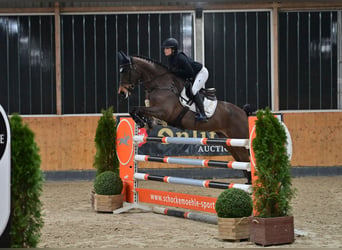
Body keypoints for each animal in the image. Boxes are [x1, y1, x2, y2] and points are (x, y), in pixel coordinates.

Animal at [117, 50, 251, 184]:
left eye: (126, 71)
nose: (122, 93)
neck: (161, 84)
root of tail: (243, 113)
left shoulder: (163, 112)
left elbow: (137, 109)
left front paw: (142, 122)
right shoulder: (155, 111)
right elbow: (136, 109)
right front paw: (144, 122)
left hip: (239, 138)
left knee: (246, 159)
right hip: (228, 142)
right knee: (241, 161)